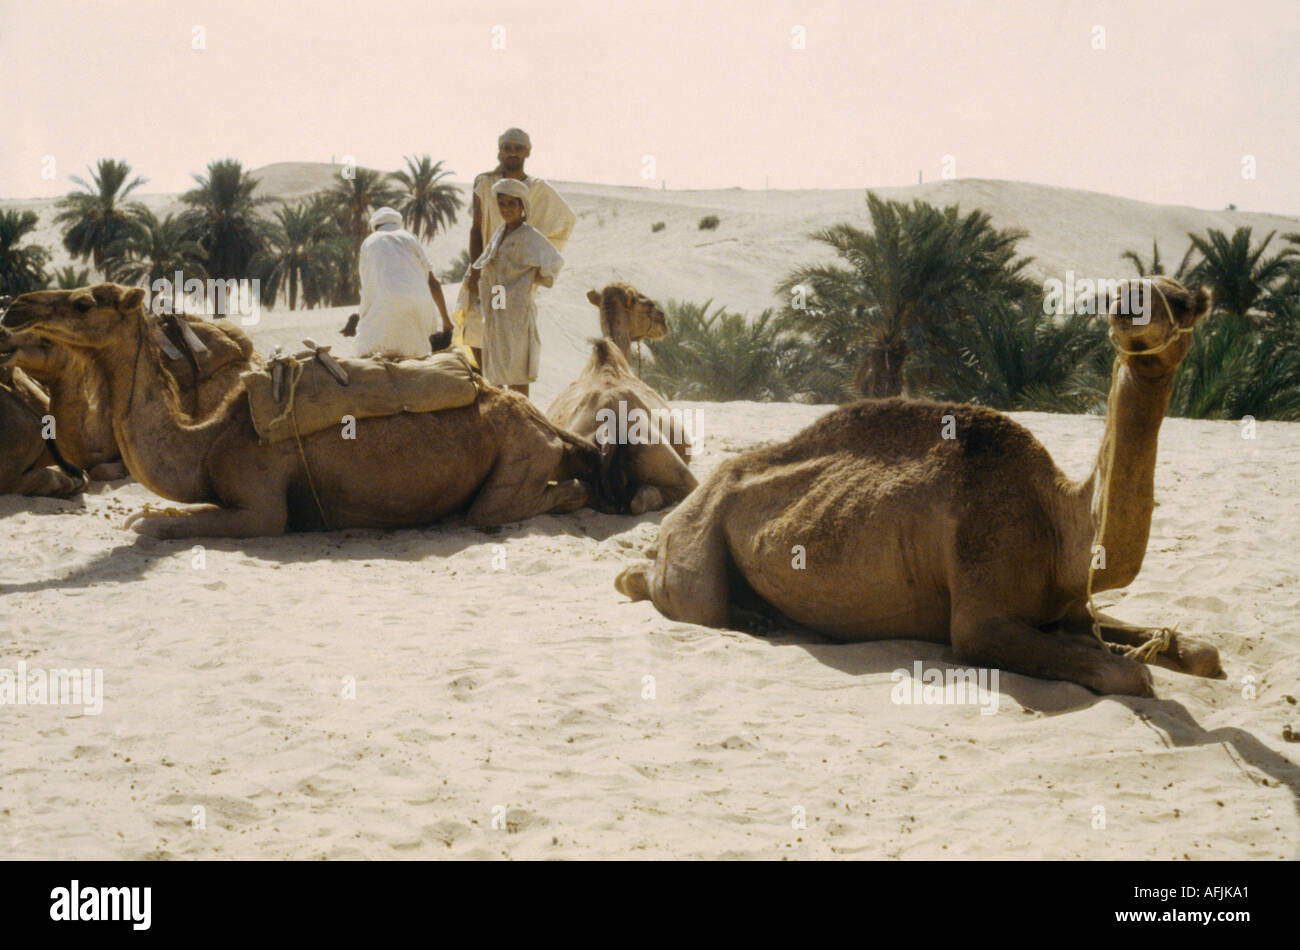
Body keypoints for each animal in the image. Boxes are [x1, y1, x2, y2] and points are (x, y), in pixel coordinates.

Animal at [616, 276, 1225, 697]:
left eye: (1181, 301)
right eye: (1122, 290)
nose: (1127, 305)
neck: (1061, 522)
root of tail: (682, 508)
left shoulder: (1073, 610)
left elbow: (1201, 650)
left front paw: (1181, 649)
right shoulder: (981, 622)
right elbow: (1129, 677)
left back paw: (765, 616)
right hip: (695, 537)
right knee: (675, 594)